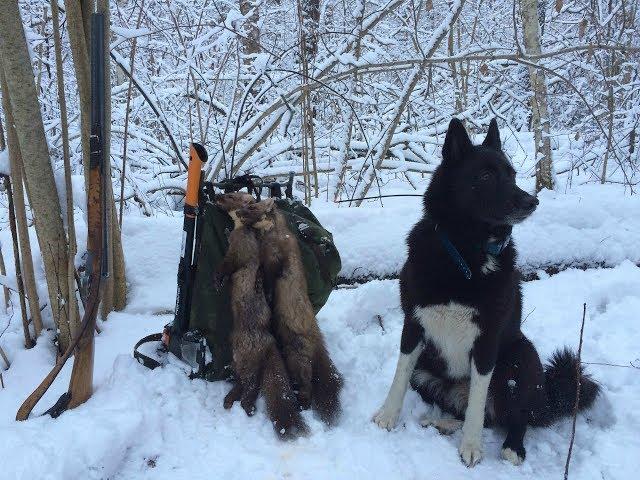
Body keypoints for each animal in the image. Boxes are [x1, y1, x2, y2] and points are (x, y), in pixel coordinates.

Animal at [370, 118, 600, 466]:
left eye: (512, 175)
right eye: (486, 176)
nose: (532, 201)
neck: (466, 252)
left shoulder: (487, 340)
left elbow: (478, 403)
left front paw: (471, 447)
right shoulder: (413, 324)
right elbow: (399, 375)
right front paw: (387, 416)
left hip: (521, 358)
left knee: (513, 415)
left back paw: (512, 447)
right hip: (426, 370)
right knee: (473, 411)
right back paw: (442, 422)